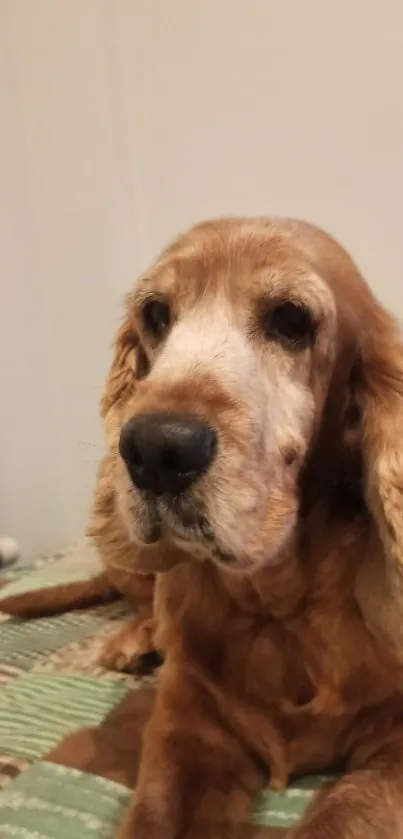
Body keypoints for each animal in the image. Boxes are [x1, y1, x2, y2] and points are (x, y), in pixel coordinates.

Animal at [2, 218, 403, 839]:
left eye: (291, 320)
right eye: (156, 314)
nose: (155, 450)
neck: (276, 603)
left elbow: (346, 806)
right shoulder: (189, 722)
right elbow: (160, 810)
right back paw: (135, 639)